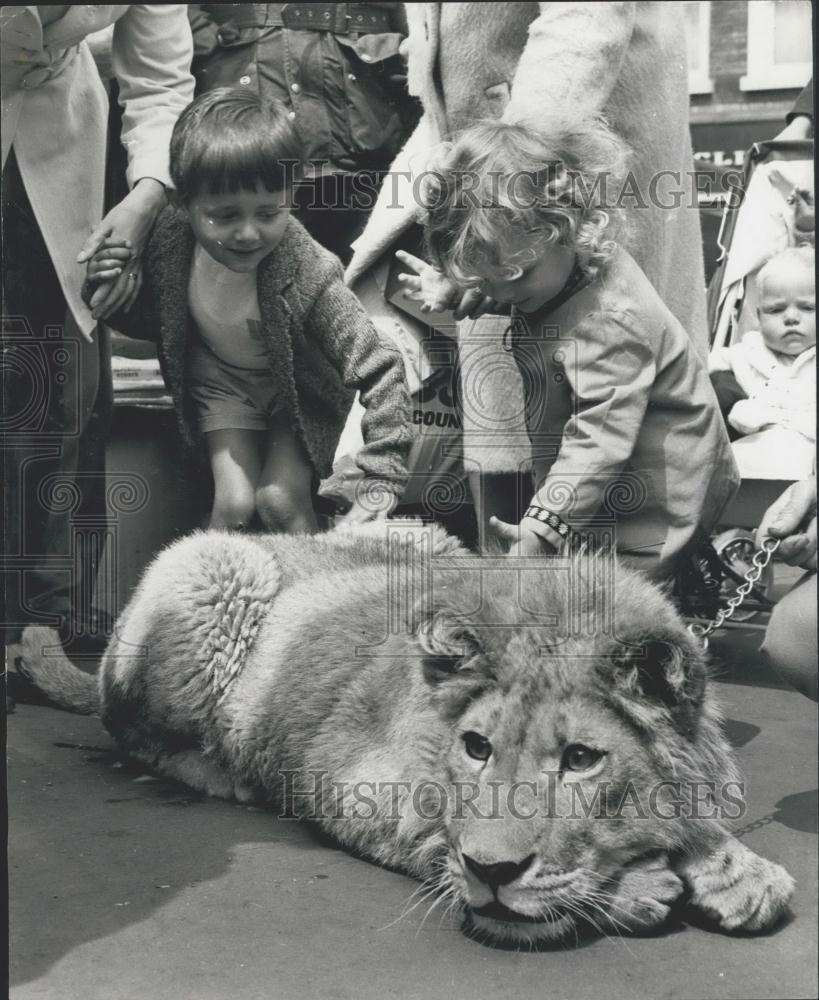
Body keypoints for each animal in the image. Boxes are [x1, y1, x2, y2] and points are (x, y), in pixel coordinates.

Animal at [19, 524, 796, 944]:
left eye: (580, 760)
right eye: (477, 748)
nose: (492, 875)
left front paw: (737, 871)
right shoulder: (346, 778)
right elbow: (440, 842)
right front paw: (638, 889)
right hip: (214, 568)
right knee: (132, 732)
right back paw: (224, 773)